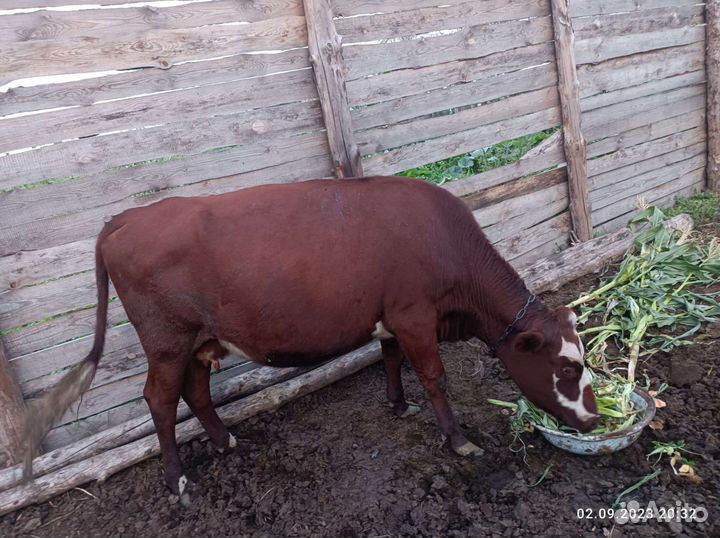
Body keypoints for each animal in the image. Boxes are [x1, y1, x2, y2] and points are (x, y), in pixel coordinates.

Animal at [25, 176, 598, 502]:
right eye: (567, 369)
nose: (594, 420)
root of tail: (131, 215)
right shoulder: (415, 315)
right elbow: (434, 377)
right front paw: (459, 440)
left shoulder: (391, 316)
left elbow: (391, 361)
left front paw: (398, 405)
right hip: (167, 340)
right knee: (160, 402)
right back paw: (177, 482)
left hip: (199, 342)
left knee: (196, 392)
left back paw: (225, 441)